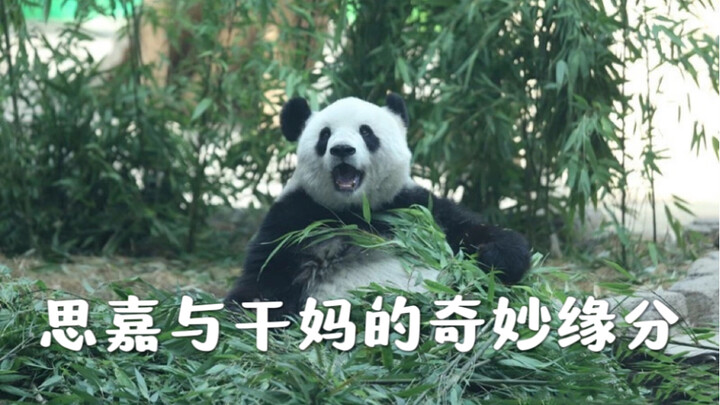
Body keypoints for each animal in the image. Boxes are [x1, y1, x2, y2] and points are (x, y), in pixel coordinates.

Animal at [225, 93, 531, 314]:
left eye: (366, 132)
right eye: (325, 135)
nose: (342, 149)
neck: (356, 210)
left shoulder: (414, 206)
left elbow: (474, 230)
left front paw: (494, 256)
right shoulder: (294, 219)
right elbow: (262, 280)